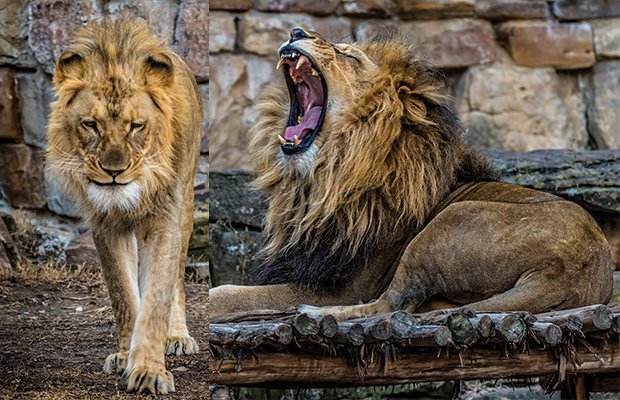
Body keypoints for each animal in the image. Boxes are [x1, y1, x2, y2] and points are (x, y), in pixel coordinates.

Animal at [46, 19, 201, 394]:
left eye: (136, 126)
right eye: (91, 124)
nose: (114, 171)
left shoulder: (164, 220)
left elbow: (157, 295)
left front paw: (148, 371)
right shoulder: (105, 224)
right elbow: (124, 296)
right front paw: (125, 356)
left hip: (187, 204)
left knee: (177, 277)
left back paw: (177, 337)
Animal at [209, 28, 616, 320]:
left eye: (347, 54)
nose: (295, 30)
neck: (320, 181)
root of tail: (575, 268)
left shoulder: (340, 284)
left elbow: (231, 294)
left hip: (446, 222)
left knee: (391, 304)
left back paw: (313, 313)